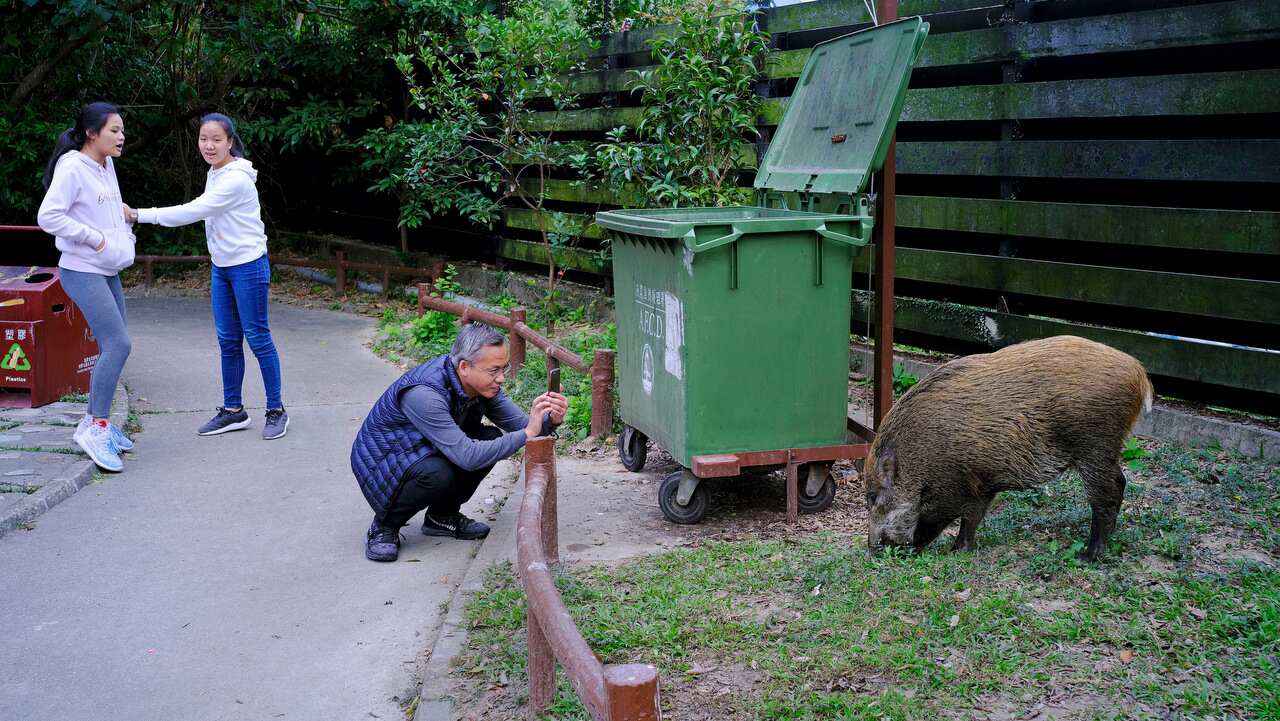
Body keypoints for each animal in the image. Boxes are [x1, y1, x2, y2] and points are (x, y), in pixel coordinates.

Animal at [863, 336, 1153, 561]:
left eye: (873, 497)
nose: (871, 549)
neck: (917, 459)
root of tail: (1139, 373)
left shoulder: (954, 485)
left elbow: (947, 517)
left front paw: (948, 550)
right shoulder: (982, 484)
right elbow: (973, 518)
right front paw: (960, 549)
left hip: (1095, 445)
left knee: (1105, 495)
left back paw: (1088, 556)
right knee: (1121, 482)